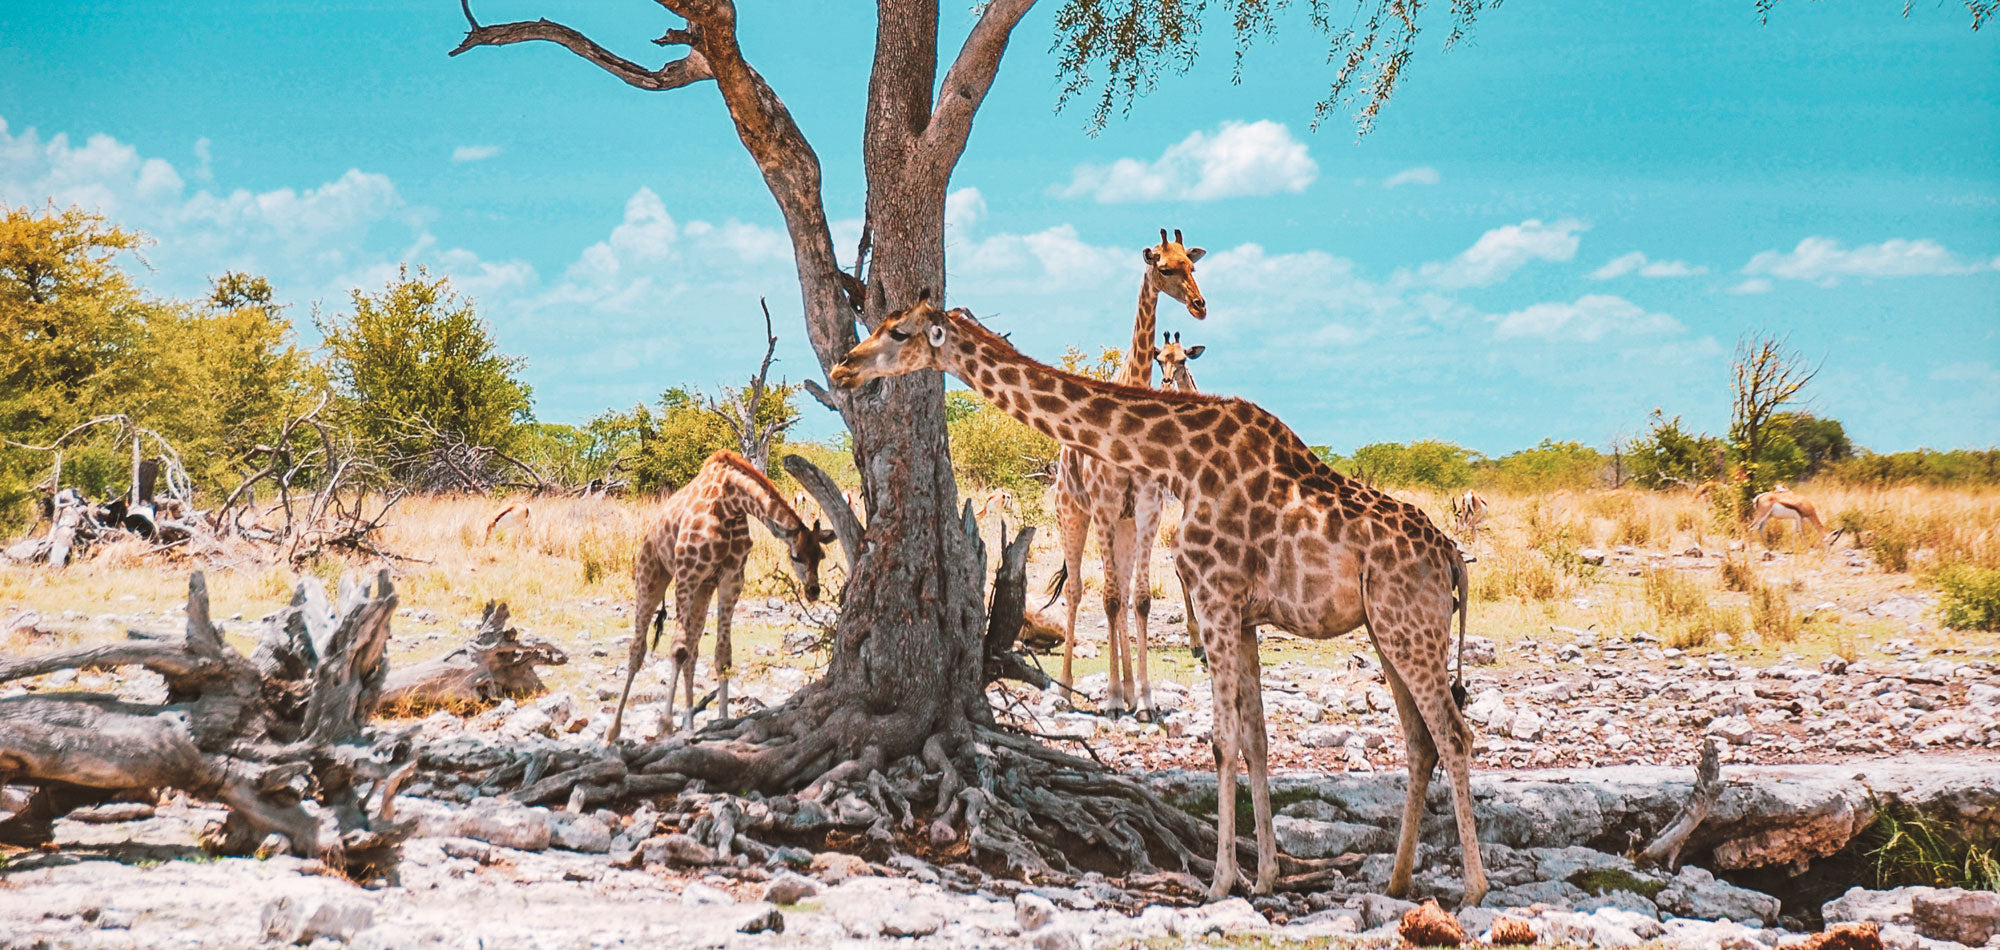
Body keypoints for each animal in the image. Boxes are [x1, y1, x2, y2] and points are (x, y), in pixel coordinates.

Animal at [600, 450, 836, 748]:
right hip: (651, 574)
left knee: (693, 650)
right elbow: (677, 649)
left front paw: (722, 720)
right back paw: (613, 731)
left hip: (703, 588)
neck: (730, 504)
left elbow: (721, 655)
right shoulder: (687, 573)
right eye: (796, 557)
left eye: (821, 556)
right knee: (639, 648)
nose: (813, 591)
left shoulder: (730, 579)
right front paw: (664, 724)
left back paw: (688, 721)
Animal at [828, 300, 1488, 908]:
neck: (1180, 458)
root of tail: (1450, 556)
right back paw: (1399, 882)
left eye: (899, 331)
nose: (842, 368)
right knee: (1420, 741)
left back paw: (1473, 890)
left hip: (1409, 626)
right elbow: (1255, 739)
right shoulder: (1243, 616)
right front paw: (1265, 877)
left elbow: (1222, 740)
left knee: (1454, 735)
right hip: (1386, 630)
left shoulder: (1216, 597)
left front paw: (1220, 884)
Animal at [1048, 231, 1200, 716]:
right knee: (1080, 591)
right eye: (1164, 267)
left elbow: (1142, 600)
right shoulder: (1104, 502)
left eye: (1192, 264)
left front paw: (1145, 699)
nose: (1199, 305)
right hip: (1074, 513)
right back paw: (1066, 691)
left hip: (1124, 525)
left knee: (1122, 596)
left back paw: (1131, 691)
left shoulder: (1147, 508)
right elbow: (1110, 598)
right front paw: (1113, 698)